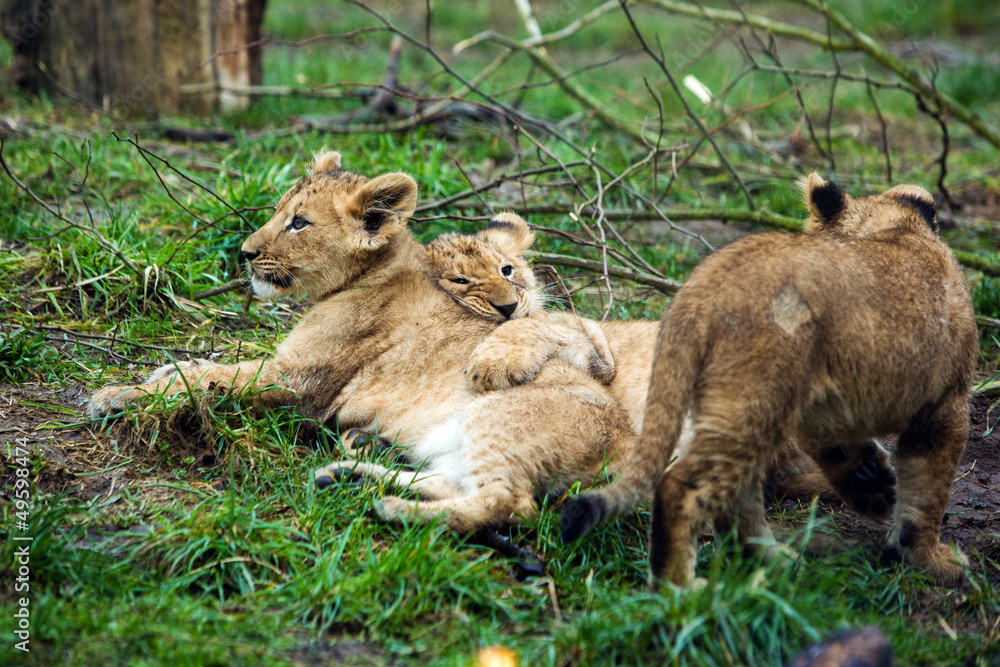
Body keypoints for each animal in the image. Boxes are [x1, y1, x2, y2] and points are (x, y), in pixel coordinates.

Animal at [559, 174, 977, 587]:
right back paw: (682, 589)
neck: (891, 228)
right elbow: (928, 493)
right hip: (755, 399)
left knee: (737, 494)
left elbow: (844, 451)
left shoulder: (827, 408)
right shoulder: (947, 402)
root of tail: (702, 286)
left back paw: (775, 563)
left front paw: (870, 483)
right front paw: (933, 562)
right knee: (683, 487)